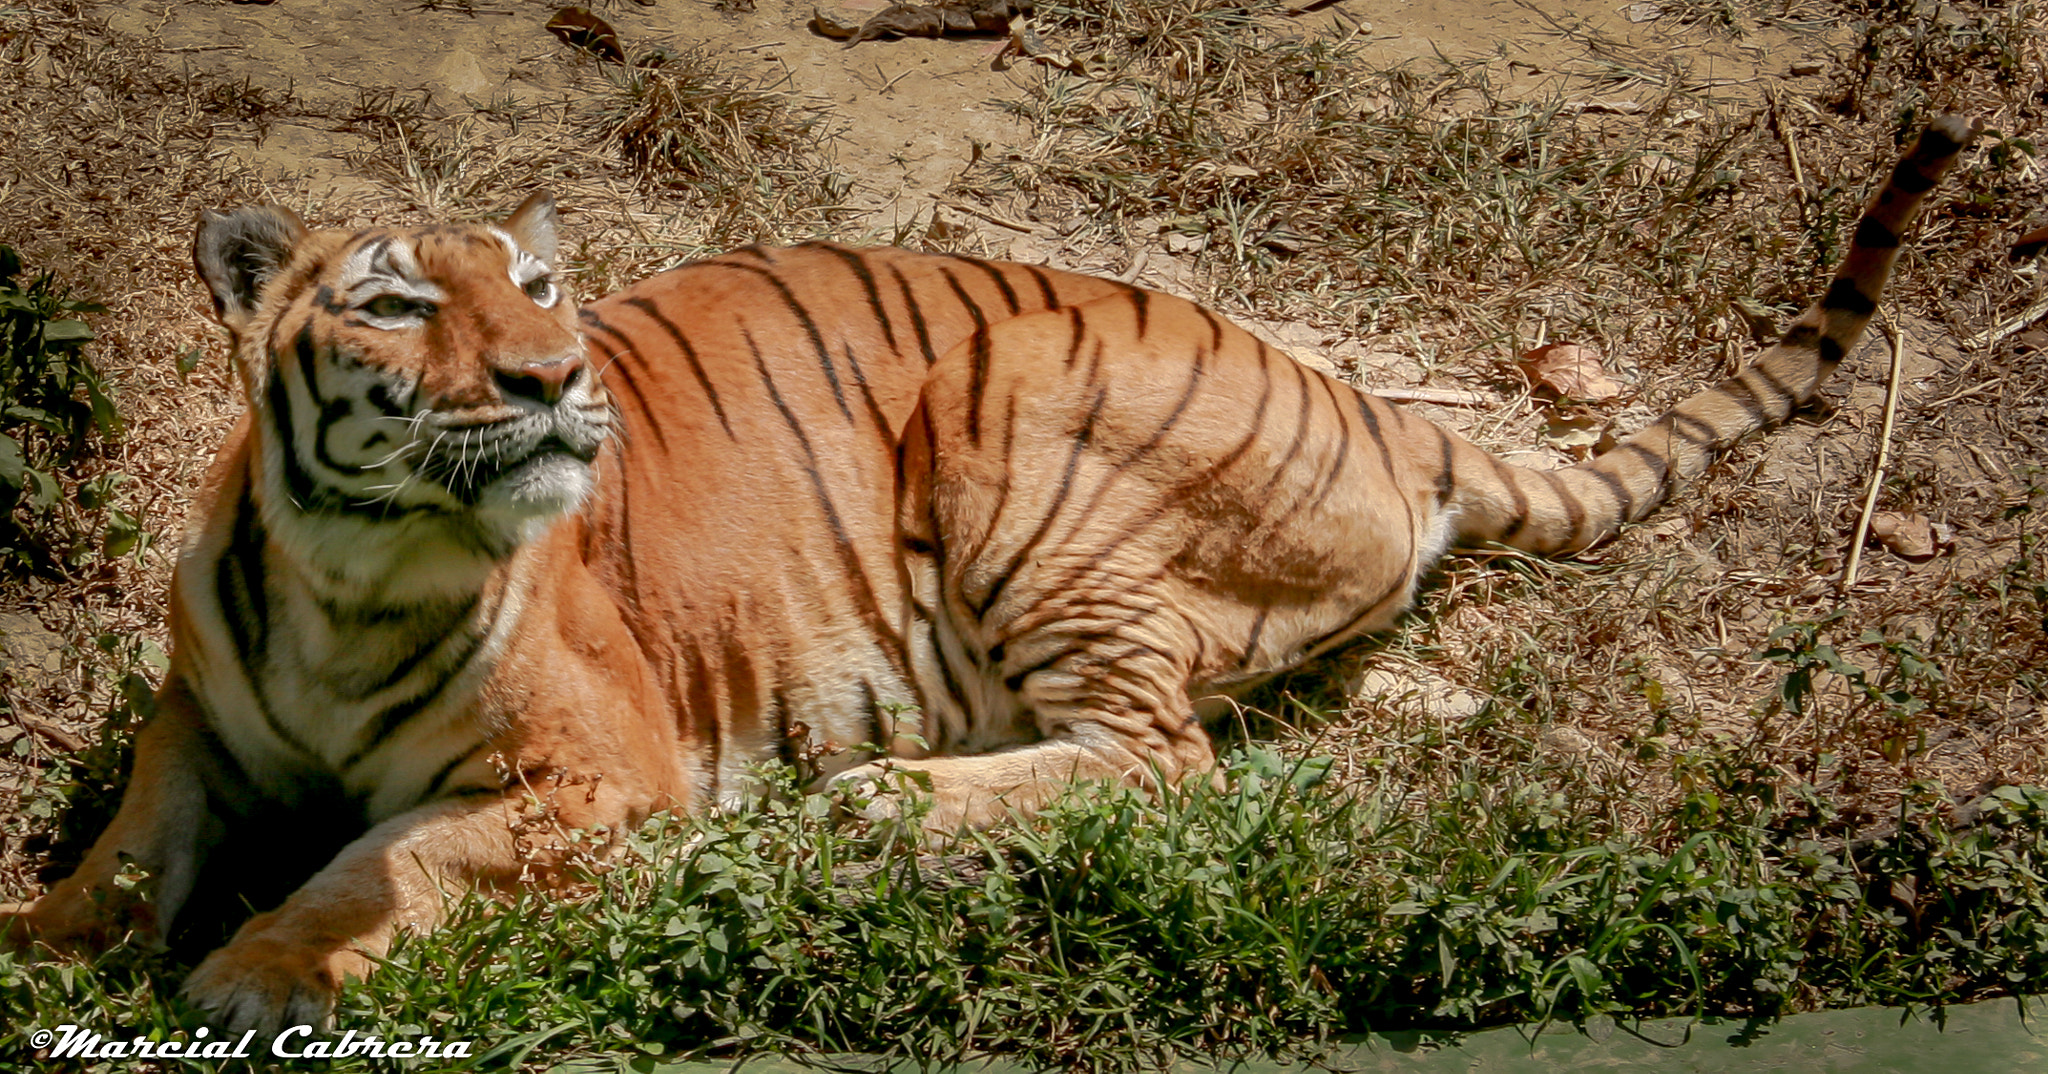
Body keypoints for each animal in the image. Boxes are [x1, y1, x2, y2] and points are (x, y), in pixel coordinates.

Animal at [1, 115, 1975, 1034]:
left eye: (539, 288)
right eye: (407, 302)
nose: (552, 379)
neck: (354, 562)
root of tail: (1380, 409)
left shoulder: (593, 773)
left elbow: (381, 861)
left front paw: (261, 971)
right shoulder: (197, 725)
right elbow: (128, 850)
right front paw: (48, 943)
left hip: (1011, 424)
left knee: (1159, 763)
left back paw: (865, 810)